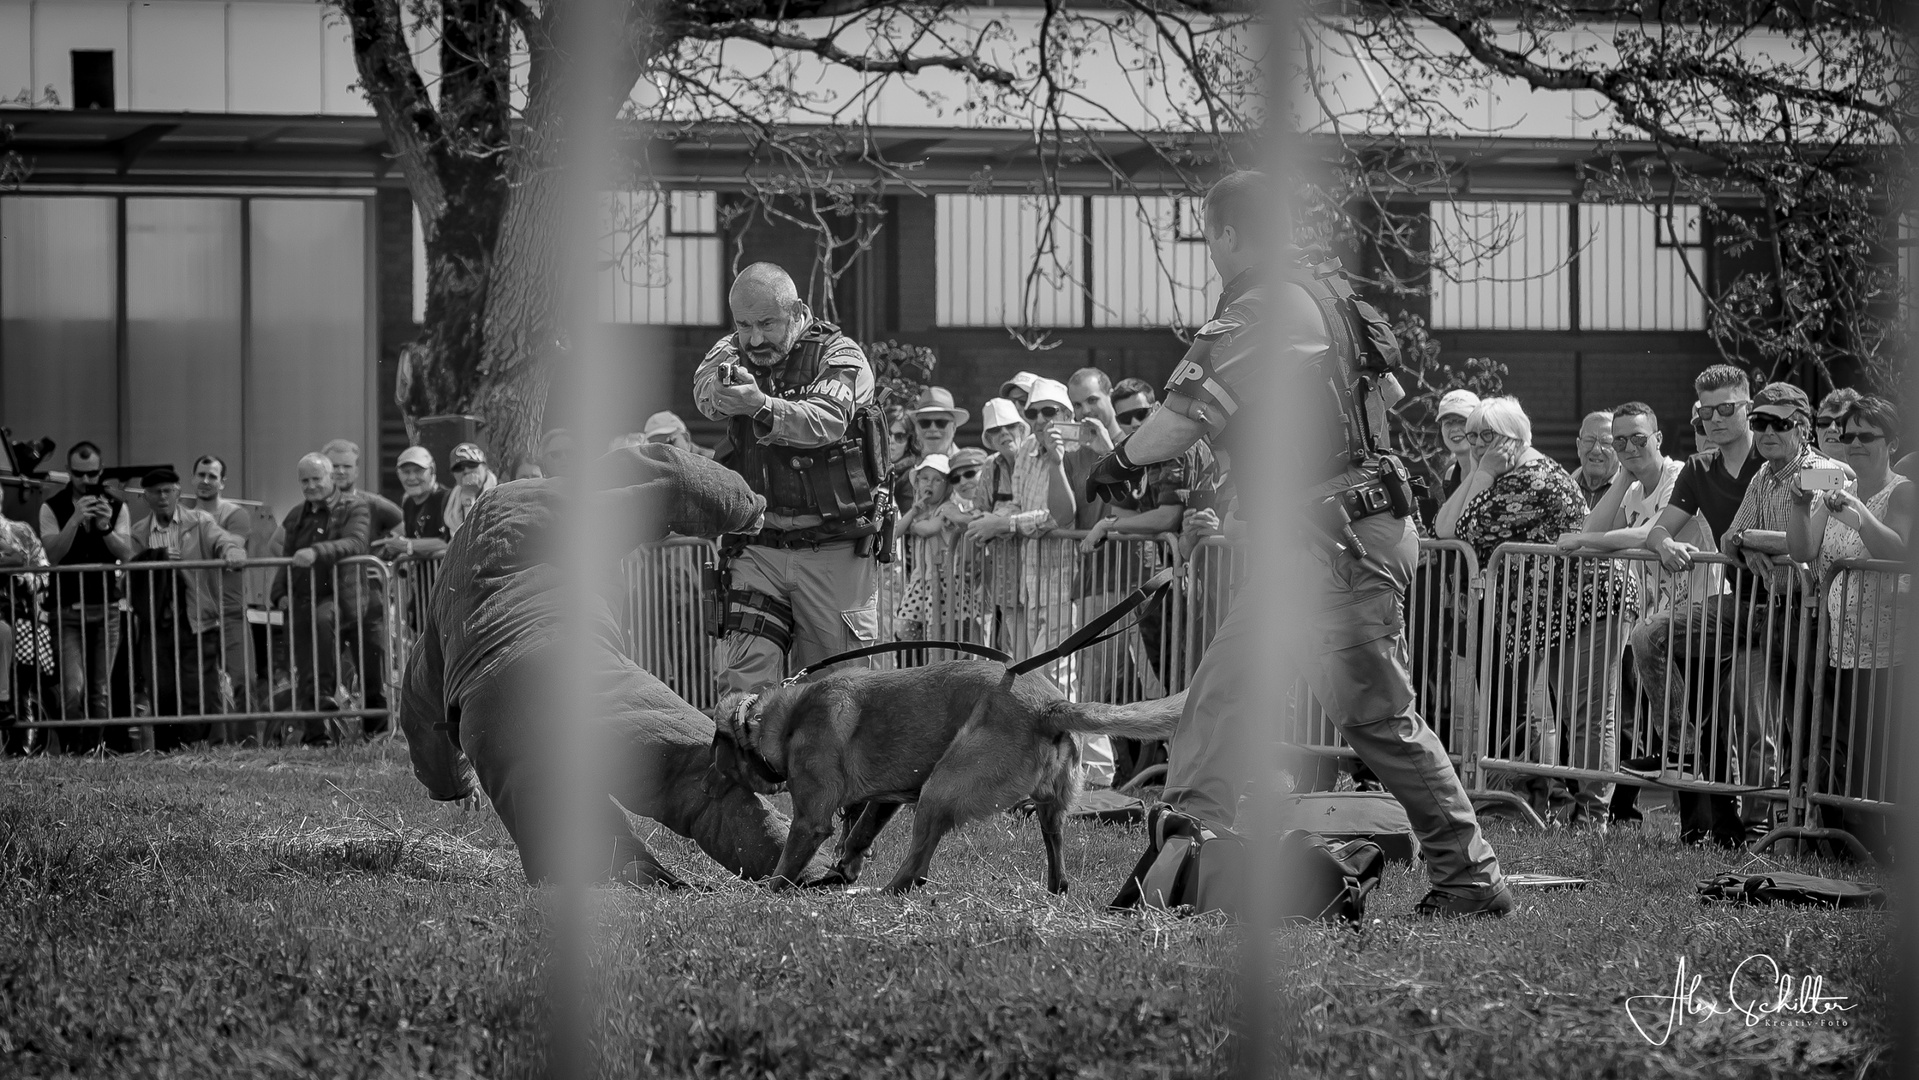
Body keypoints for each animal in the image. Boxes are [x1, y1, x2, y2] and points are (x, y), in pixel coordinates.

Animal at [710, 659, 1182, 897]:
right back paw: (1055, 887)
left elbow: (787, 863)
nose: (714, 772)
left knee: (915, 863)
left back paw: (885, 891)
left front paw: (766, 891)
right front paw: (843, 870)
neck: (786, 717)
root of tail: (1051, 706)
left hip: (939, 788)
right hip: (1047, 808)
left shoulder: (810, 820)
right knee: (1056, 849)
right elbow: (858, 836)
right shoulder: (886, 800)